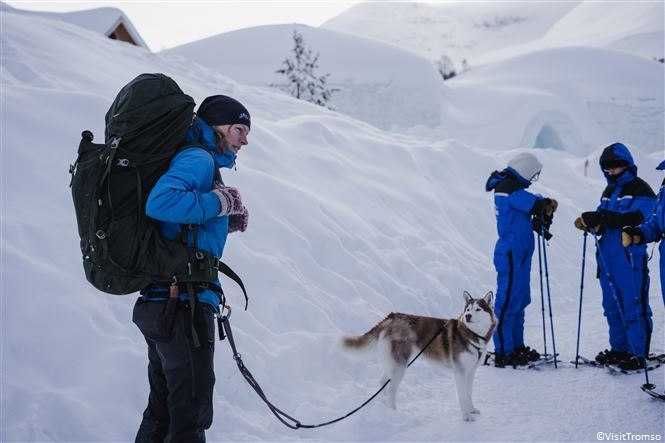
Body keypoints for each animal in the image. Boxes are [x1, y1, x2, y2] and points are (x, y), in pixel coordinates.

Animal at [344, 292, 496, 424]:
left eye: (478, 309)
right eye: (468, 309)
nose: (468, 316)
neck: (471, 335)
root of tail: (391, 317)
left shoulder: (470, 372)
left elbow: (469, 393)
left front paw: (471, 409)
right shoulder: (460, 372)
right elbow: (463, 396)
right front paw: (466, 415)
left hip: (391, 363)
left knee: (382, 382)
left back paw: (384, 406)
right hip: (400, 366)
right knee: (392, 388)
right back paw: (394, 412)